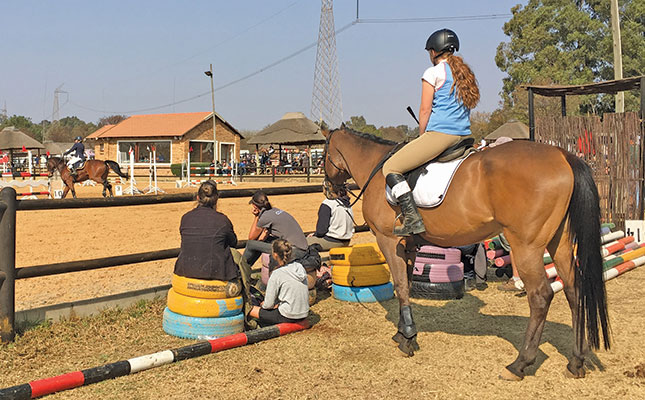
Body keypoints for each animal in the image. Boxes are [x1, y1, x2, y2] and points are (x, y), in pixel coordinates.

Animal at [322, 126, 608, 380]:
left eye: (322, 153)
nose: (329, 190)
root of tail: (562, 154)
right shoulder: (409, 245)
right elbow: (407, 284)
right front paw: (403, 332)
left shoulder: (389, 241)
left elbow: (401, 286)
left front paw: (408, 340)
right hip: (559, 243)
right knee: (574, 289)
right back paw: (576, 361)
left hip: (526, 247)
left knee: (541, 296)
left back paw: (519, 364)